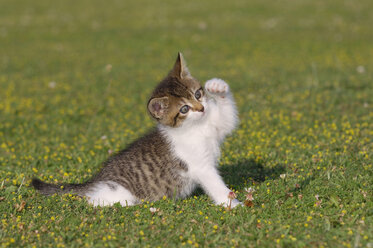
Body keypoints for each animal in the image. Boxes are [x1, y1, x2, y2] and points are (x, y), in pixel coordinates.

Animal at [32, 53, 241, 207]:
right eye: (184, 109)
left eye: (197, 94)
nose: (202, 108)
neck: (196, 127)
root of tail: (93, 181)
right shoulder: (199, 165)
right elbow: (215, 185)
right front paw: (232, 204)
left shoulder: (216, 125)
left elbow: (228, 118)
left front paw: (218, 87)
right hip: (118, 193)